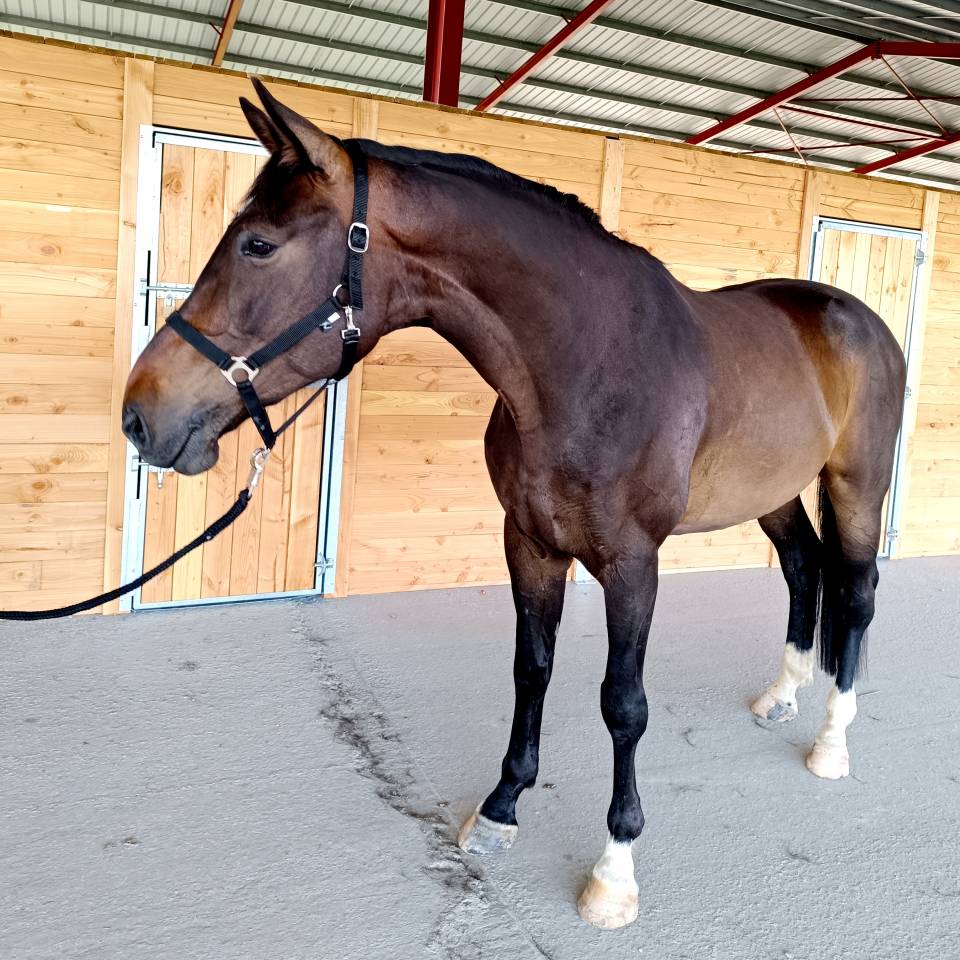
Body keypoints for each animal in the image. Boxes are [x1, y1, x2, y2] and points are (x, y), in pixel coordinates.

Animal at [121, 79, 906, 929]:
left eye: (259, 245)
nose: (139, 415)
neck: (586, 365)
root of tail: (857, 319)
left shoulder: (632, 563)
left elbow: (623, 704)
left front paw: (614, 871)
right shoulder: (529, 542)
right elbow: (532, 669)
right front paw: (501, 807)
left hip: (857, 485)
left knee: (856, 592)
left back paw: (832, 742)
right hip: (775, 491)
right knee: (802, 567)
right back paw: (782, 694)